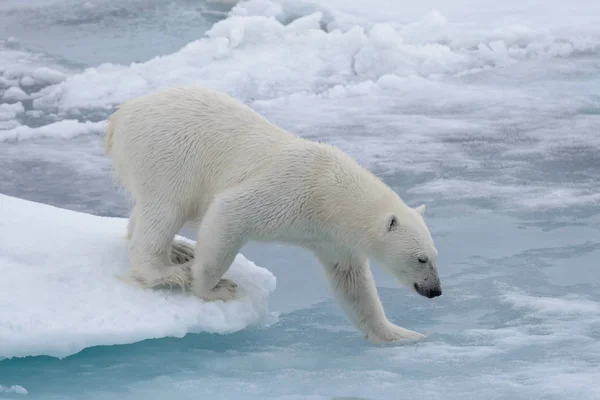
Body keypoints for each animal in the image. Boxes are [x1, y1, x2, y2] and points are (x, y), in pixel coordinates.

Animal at [104, 86, 440, 344]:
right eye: (421, 258)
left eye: (435, 256)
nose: (435, 290)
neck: (333, 193)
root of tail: (121, 114)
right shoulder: (292, 190)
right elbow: (229, 211)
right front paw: (214, 288)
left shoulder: (332, 238)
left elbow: (352, 284)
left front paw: (401, 334)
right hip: (167, 155)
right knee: (164, 208)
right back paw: (165, 270)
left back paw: (179, 249)